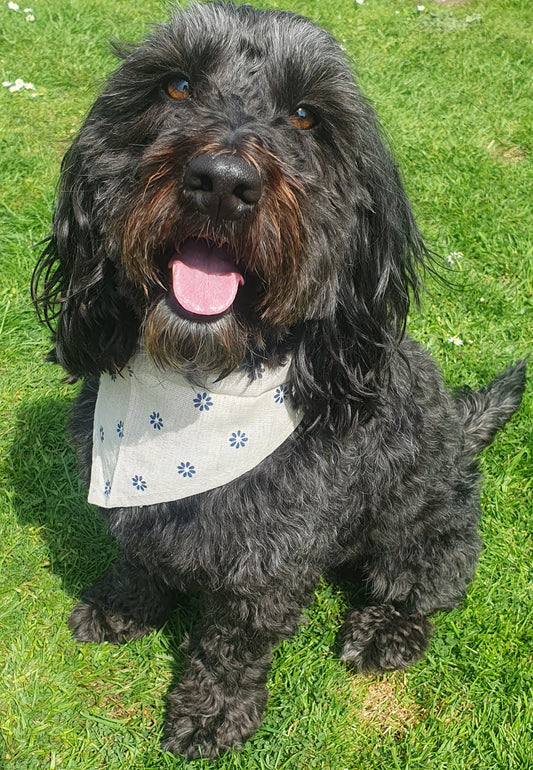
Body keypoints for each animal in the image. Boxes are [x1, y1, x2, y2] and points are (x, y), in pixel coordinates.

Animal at [32, 0, 524, 756]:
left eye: (304, 116)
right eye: (176, 85)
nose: (222, 181)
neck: (199, 389)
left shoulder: (269, 560)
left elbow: (233, 641)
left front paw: (212, 711)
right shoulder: (130, 501)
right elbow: (139, 557)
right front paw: (120, 606)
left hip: (425, 529)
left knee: (424, 588)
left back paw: (385, 632)